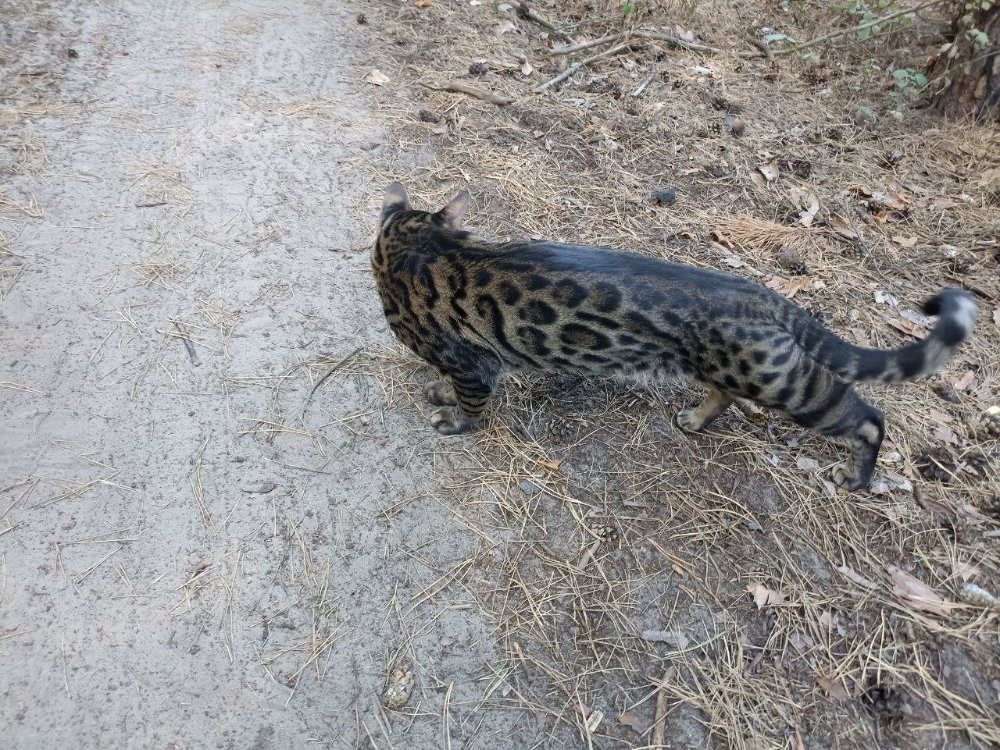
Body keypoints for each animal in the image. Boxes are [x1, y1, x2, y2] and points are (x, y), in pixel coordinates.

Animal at [376, 184, 976, 494]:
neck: (420, 250)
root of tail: (762, 294)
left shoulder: (472, 365)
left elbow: (470, 401)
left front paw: (453, 417)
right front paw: (438, 392)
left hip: (786, 384)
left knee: (869, 417)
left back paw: (857, 474)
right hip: (730, 369)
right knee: (723, 392)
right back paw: (695, 419)